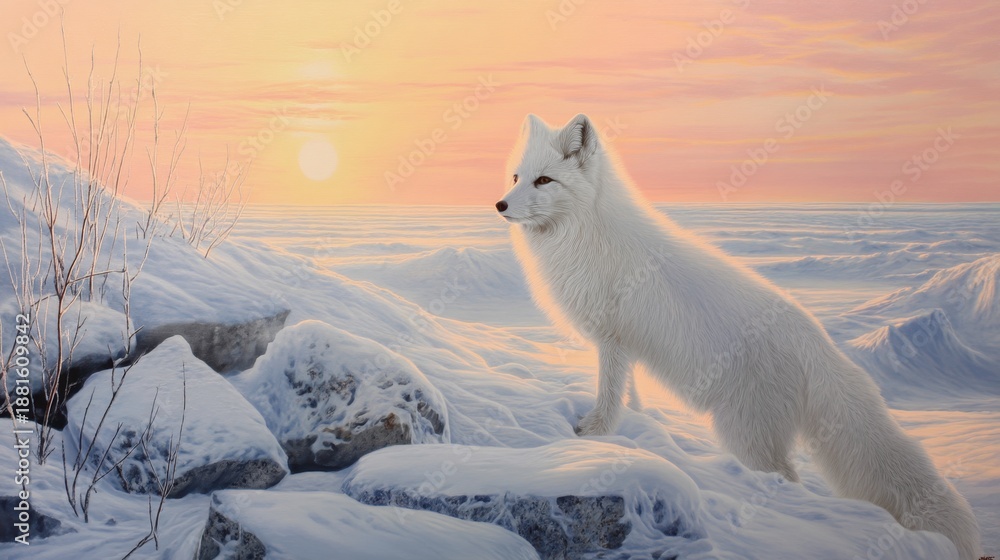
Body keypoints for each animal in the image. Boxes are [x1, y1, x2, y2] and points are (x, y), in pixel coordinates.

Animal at [495, 113, 981, 559]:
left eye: (544, 180)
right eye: (517, 176)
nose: (499, 204)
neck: (585, 234)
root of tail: (817, 341)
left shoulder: (613, 339)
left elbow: (608, 393)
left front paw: (595, 433)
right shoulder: (626, 347)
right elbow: (631, 395)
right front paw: (637, 424)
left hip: (746, 431)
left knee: (784, 477)